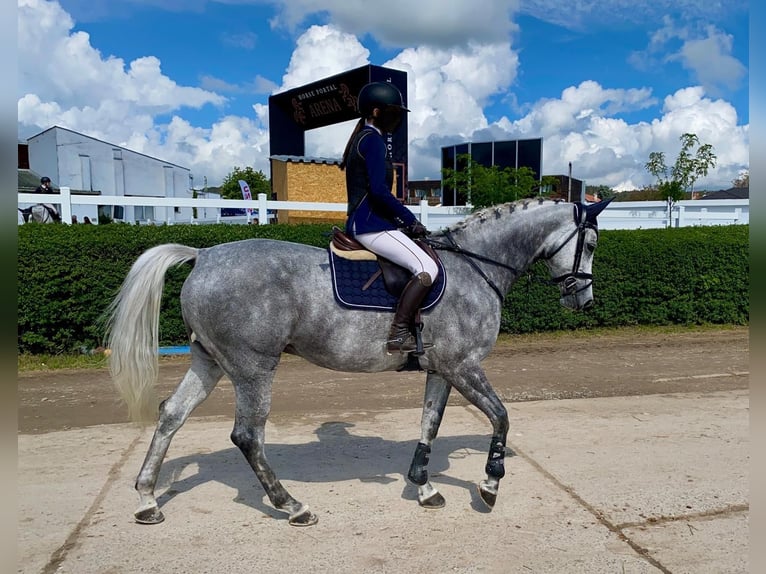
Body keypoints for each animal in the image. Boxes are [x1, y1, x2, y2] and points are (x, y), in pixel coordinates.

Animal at [108, 198, 612, 528]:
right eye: (590, 244)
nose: (583, 300)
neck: (476, 267)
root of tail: (205, 254)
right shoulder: (464, 366)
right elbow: (502, 416)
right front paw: (489, 485)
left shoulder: (442, 370)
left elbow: (429, 424)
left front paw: (425, 488)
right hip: (253, 367)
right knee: (247, 436)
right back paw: (292, 505)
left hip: (209, 361)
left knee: (171, 416)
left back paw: (147, 500)